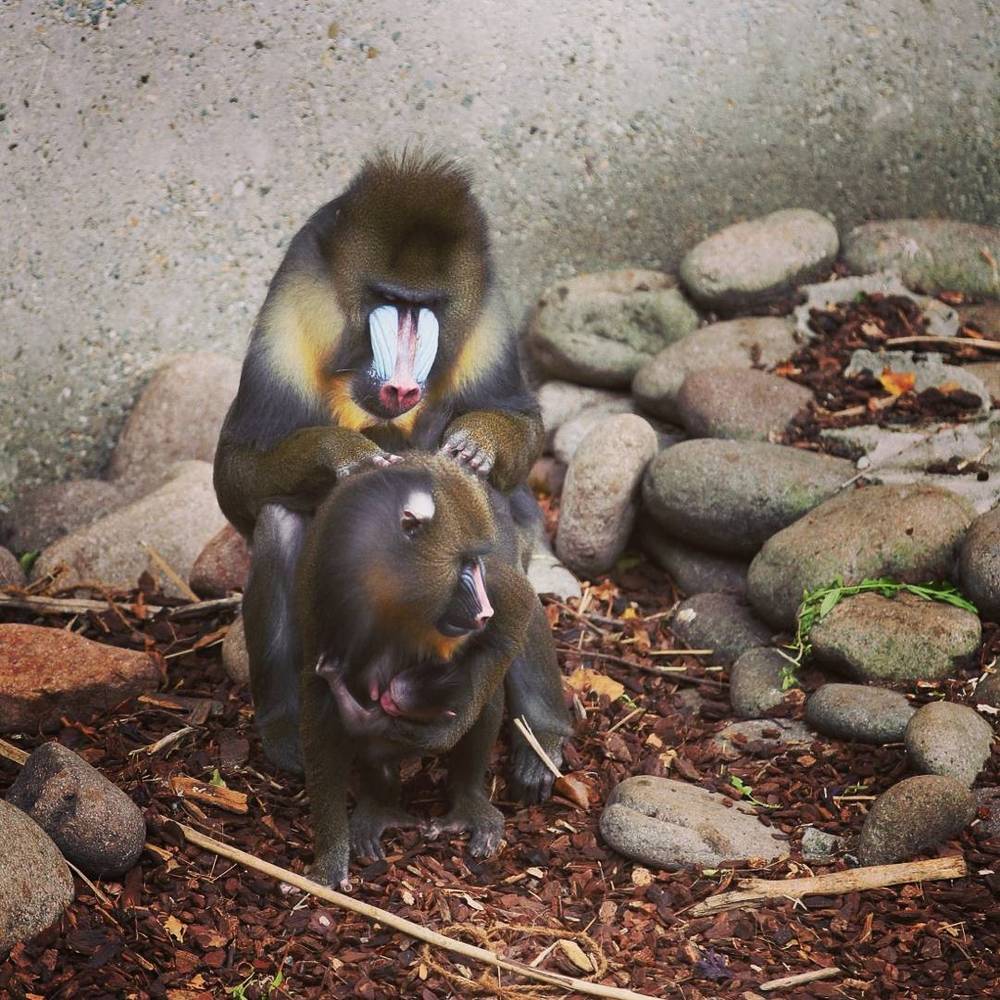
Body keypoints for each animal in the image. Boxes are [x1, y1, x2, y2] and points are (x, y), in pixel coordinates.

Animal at [214, 152, 568, 800]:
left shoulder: (486, 327)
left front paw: (478, 441)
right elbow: (236, 475)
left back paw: (541, 743)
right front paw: (344, 455)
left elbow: (519, 424)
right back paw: (286, 733)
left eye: (426, 305)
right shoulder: (286, 324)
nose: (401, 386)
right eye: (386, 298)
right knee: (279, 522)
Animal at [295, 453, 550, 887]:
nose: (484, 610)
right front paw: (328, 859)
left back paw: (468, 802)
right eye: (464, 564)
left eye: (476, 561)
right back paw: (380, 806)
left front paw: (439, 734)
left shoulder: (499, 589)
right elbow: (318, 705)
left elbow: (518, 611)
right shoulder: (319, 588)